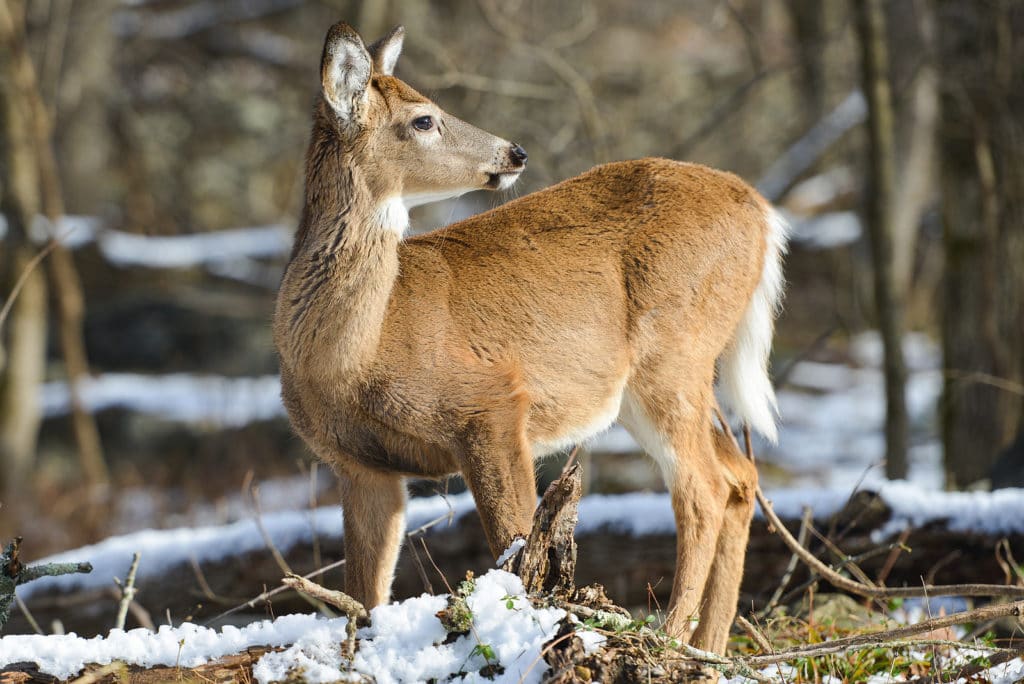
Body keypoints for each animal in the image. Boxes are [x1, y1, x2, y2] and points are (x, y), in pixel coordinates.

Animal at [272, 20, 782, 651]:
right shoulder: (360, 465)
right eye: (423, 119)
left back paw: (667, 637)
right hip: (652, 382)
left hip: (675, 353)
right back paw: (706, 647)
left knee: (704, 490)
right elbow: (365, 592)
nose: (514, 152)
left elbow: (517, 547)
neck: (351, 354)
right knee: (739, 478)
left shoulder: (491, 401)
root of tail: (761, 210)